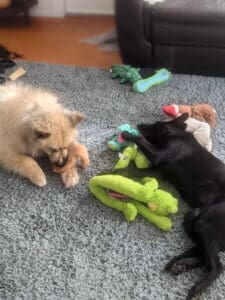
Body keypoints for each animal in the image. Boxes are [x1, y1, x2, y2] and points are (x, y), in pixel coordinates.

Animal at [122, 113, 225, 298]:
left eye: (154, 125)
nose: (138, 124)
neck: (178, 134)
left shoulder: (157, 156)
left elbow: (140, 141)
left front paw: (128, 135)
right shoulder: (157, 170)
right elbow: (134, 170)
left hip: (205, 222)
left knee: (217, 265)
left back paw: (197, 288)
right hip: (194, 218)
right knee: (203, 256)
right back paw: (181, 264)